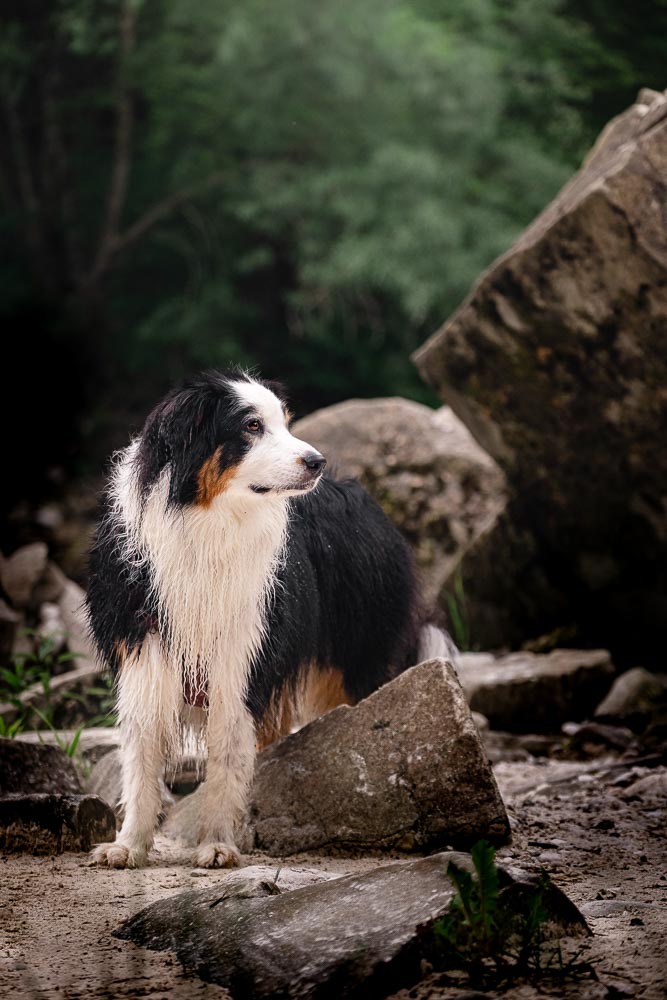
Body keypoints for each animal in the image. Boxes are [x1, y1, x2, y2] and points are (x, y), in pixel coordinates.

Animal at [86, 370, 454, 868]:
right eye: (251, 426)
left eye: (285, 422)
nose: (317, 461)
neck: (208, 523)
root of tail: (363, 497)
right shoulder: (145, 649)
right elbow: (142, 756)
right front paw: (128, 846)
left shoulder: (243, 657)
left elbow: (226, 753)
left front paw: (217, 844)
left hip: (358, 653)